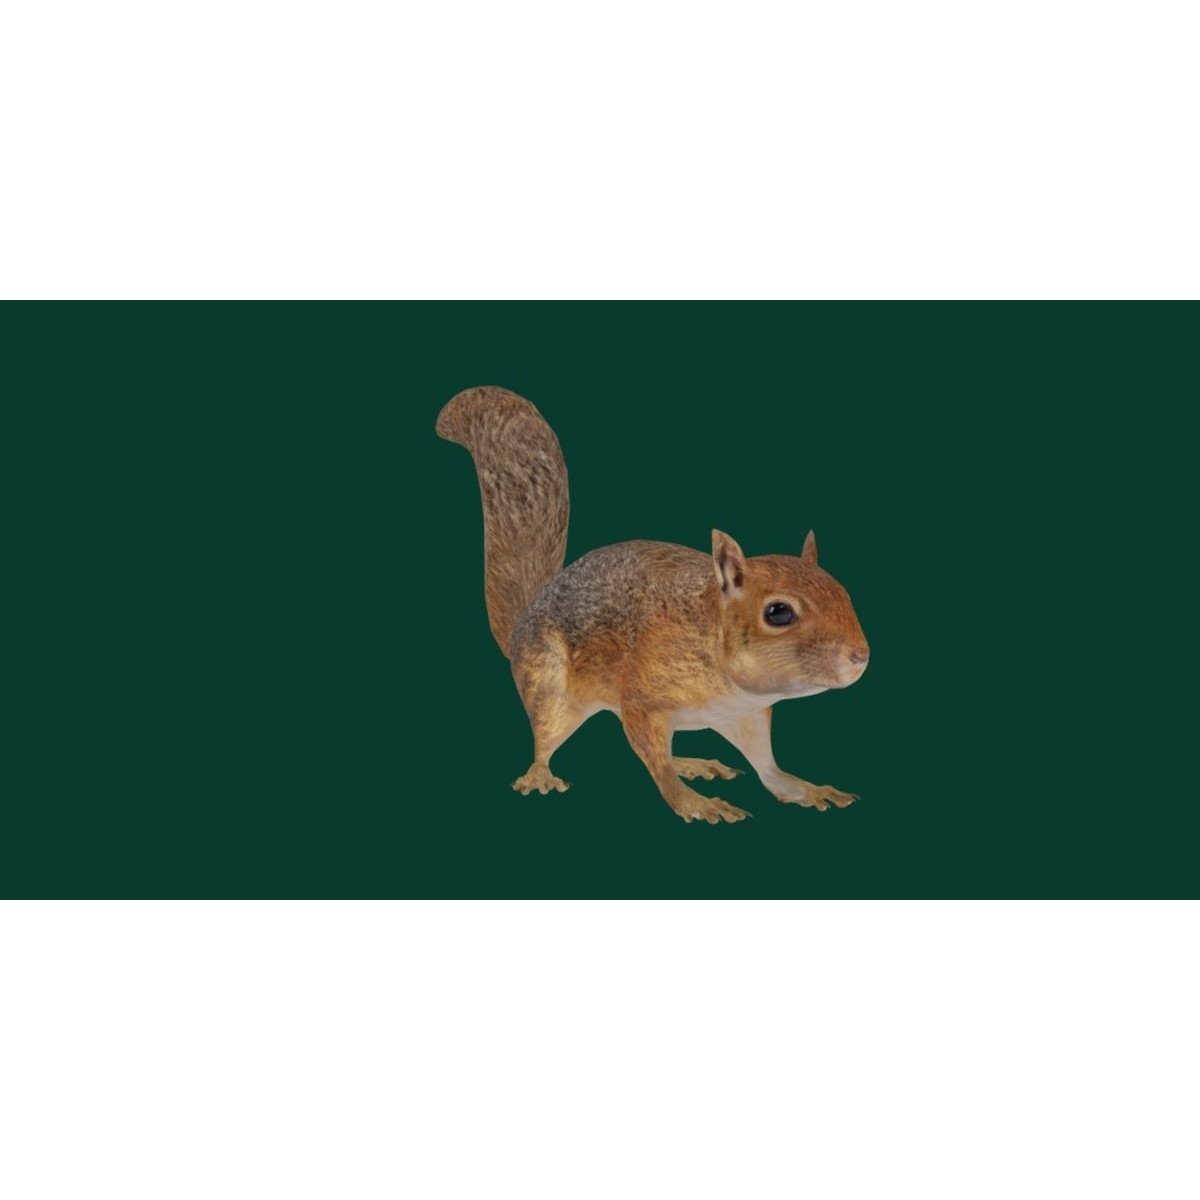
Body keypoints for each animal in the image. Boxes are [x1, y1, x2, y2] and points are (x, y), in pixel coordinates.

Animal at [436, 385, 870, 825]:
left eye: (844, 592)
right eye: (778, 612)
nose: (860, 656)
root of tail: (522, 623)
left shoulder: (745, 716)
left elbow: (768, 768)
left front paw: (808, 789)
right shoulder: (643, 699)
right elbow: (656, 762)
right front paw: (697, 804)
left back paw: (692, 762)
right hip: (549, 686)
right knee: (547, 737)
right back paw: (541, 774)